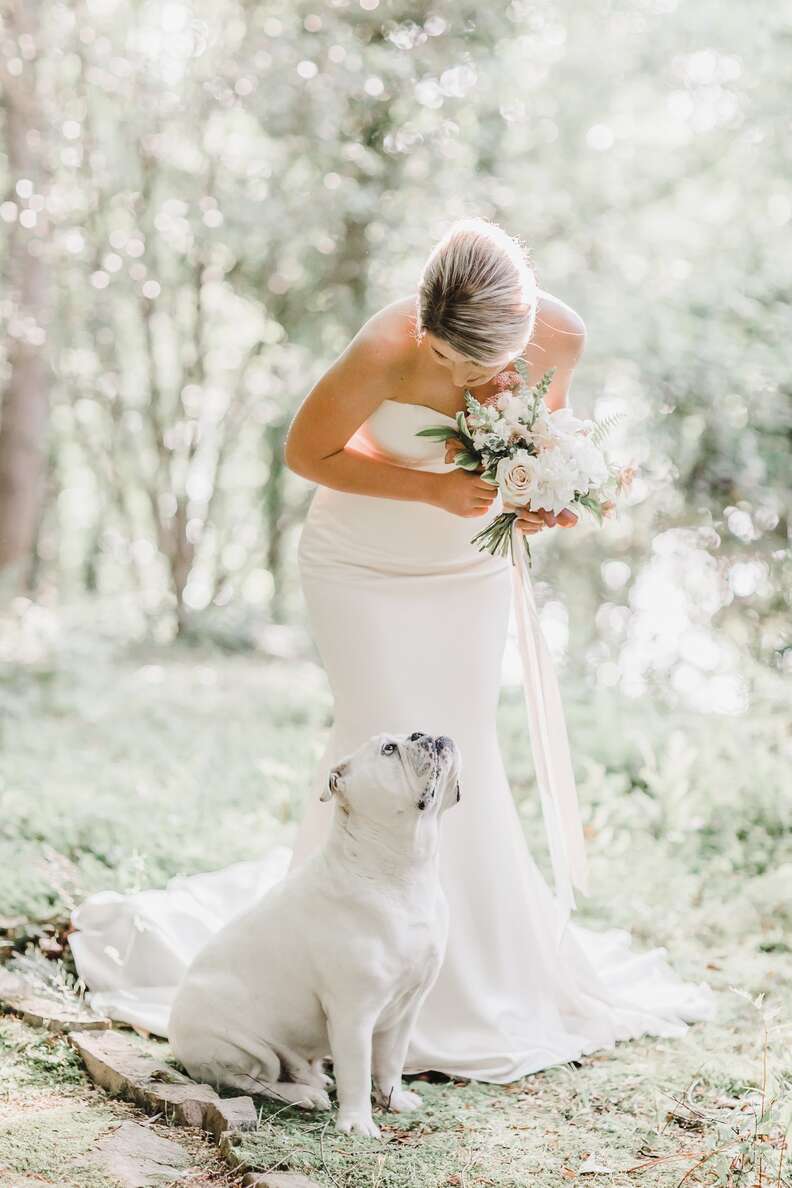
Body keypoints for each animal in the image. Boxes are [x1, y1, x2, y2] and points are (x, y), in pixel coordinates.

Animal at [170, 727, 460, 1135]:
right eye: (389, 749)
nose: (424, 732)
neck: (403, 872)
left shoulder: (407, 1009)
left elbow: (391, 1062)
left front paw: (394, 1100)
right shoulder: (353, 1014)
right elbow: (357, 1072)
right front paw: (357, 1122)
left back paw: (313, 1079)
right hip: (240, 1046)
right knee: (252, 1080)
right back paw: (305, 1095)